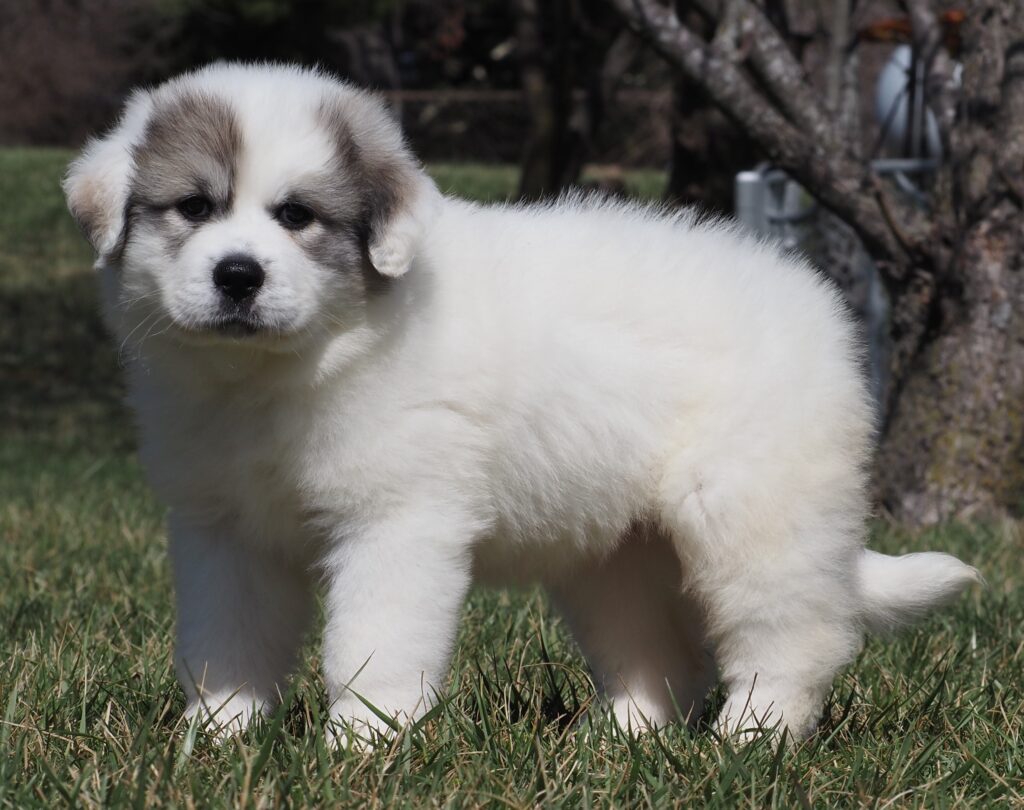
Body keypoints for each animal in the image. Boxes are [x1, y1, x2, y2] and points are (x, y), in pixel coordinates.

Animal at [61, 63, 974, 745]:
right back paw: (619, 741)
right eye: (194, 207)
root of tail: (812, 301)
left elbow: (371, 643)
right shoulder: (223, 528)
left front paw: (362, 746)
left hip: (753, 509)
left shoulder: (398, 521)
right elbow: (227, 638)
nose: (238, 275)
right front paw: (219, 740)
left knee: (791, 634)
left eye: (297, 216)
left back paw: (752, 739)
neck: (285, 368)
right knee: (659, 653)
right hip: (614, 550)